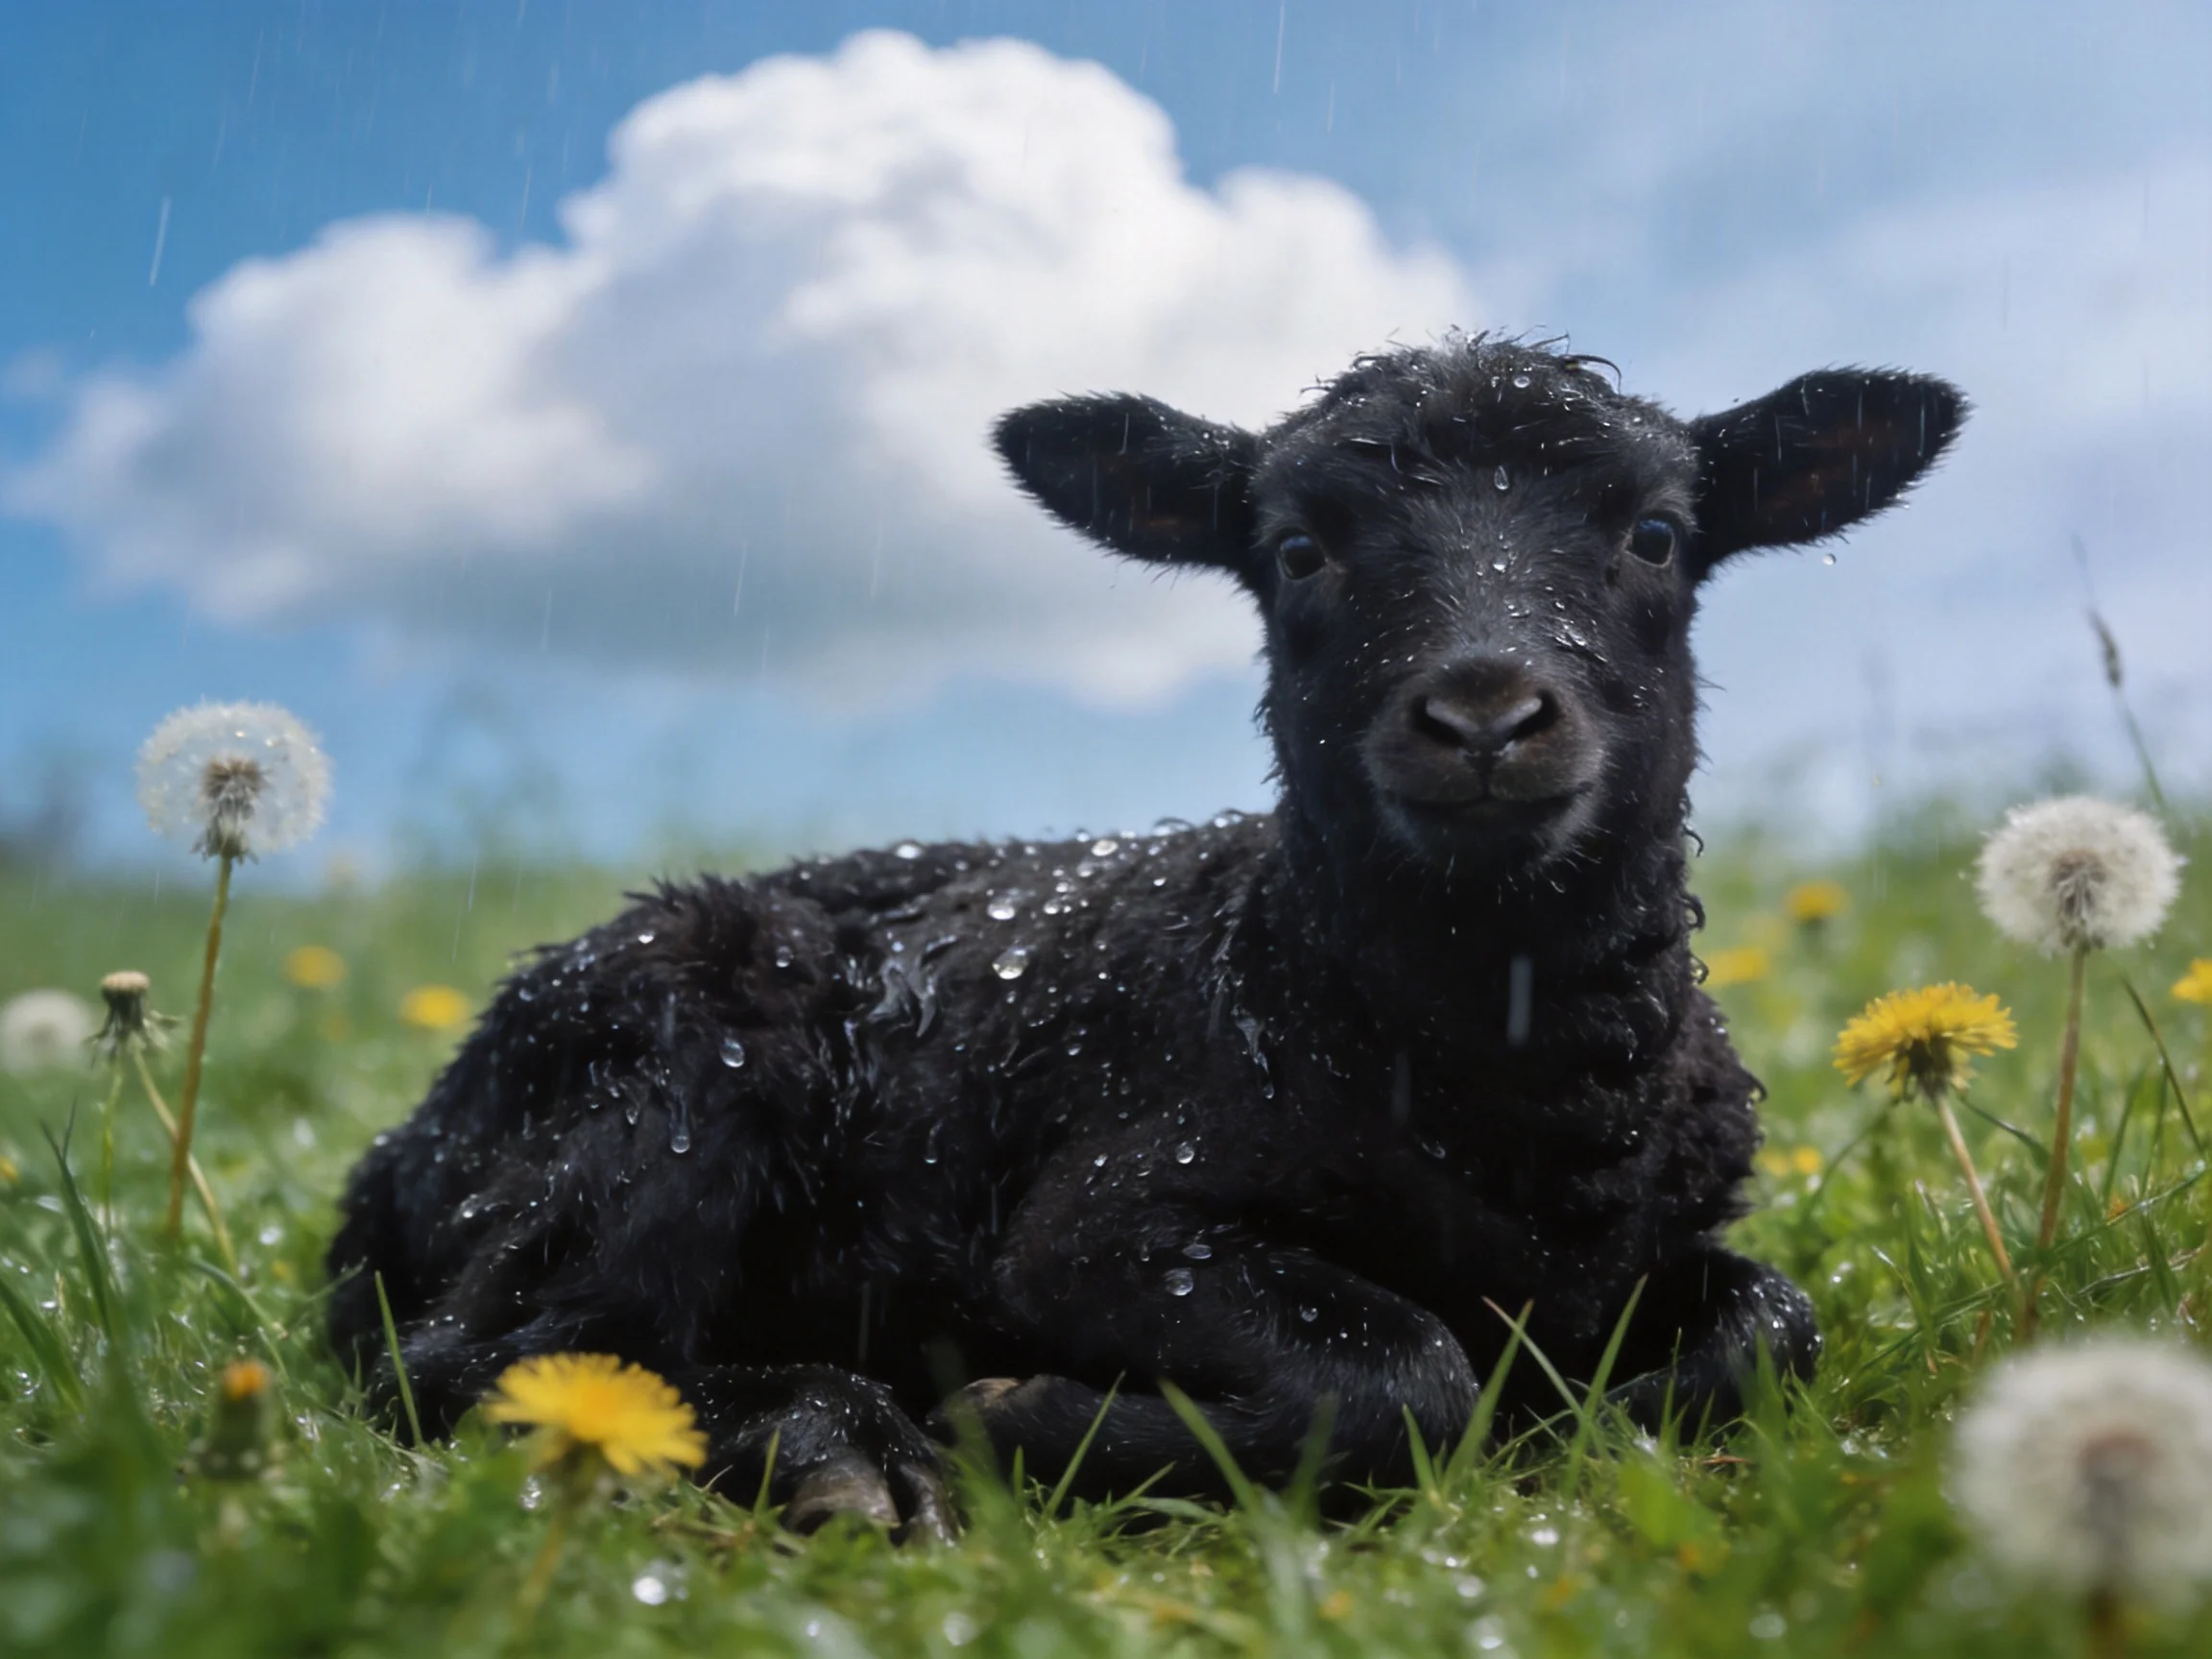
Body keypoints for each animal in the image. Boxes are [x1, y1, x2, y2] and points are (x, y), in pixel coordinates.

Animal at [327, 334, 1963, 1535]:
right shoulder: (1111, 1223)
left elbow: (1776, 1327)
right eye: (1298, 550)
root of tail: (399, 1151)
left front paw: (1608, 1412)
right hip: (676, 1073)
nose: (1487, 715)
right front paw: (1020, 1422)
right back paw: (837, 1441)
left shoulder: (1676, 1237)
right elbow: (1402, 1377)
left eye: (1657, 534)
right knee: (488, 1357)